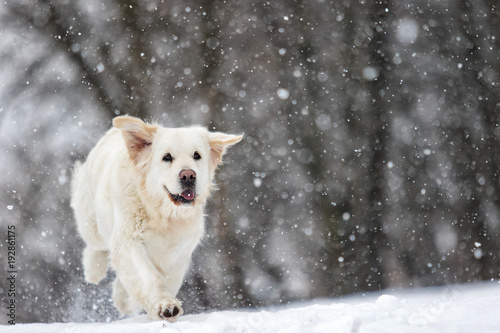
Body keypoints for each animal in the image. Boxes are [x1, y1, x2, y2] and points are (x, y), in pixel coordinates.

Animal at [70, 115, 242, 320]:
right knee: (95, 245)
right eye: (167, 157)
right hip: (90, 221)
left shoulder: (178, 254)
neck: (163, 215)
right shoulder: (129, 241)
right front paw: (165, 305)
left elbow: (161, 278)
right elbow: (147, 276)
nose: (188, 176)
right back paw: (94, 270)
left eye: (197, 155)